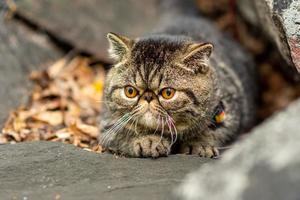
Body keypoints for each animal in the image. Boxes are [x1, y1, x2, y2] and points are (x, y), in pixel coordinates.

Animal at [99, 15, 256, 158]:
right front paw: (148, 140)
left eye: (168, 93)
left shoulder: (229, 113)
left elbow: (211, 130)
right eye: (130, 91)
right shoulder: (106, 124)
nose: (148, 97)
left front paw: (199, 143)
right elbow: (124, 131)